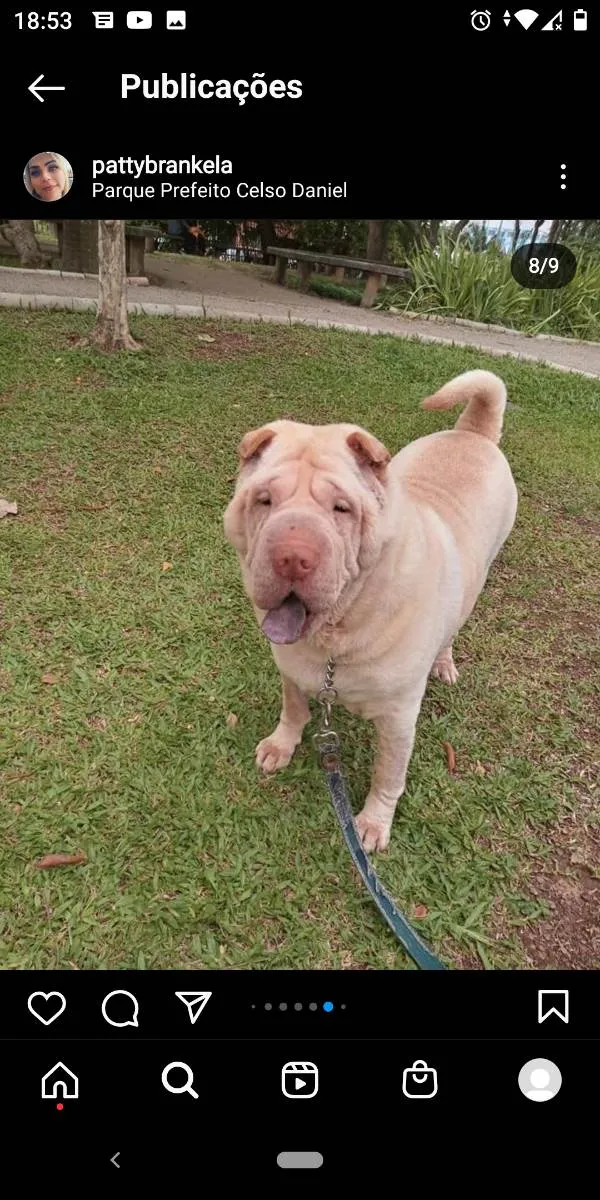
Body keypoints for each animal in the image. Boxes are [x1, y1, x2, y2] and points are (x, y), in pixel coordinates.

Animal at [223, 372, 518, 854]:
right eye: (264, 500)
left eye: (341, 508)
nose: (291, 557)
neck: (336, 633)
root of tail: (472, 433)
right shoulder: (291, 669)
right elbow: (293, 709)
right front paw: (280, 746)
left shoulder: (398, 719)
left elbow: (388, 775)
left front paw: (374, 824)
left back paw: (444, 663)